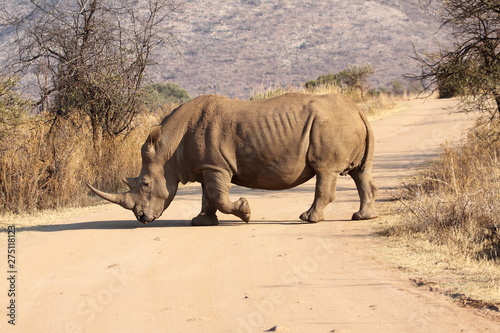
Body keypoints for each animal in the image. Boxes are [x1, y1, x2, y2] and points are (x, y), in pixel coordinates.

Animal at [89, 92, 378, 224]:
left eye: (146, 184)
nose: (141, 218)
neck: (168, 149)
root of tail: (358, 110)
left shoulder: (216, 166)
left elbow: (218, 196)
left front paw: (246, 212)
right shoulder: (206, 166)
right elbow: (207, 196)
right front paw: (201, 222)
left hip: (330, 126)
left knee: (325, 170)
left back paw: (308, 219)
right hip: (343, 123)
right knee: (360, 172)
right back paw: (362, 217)